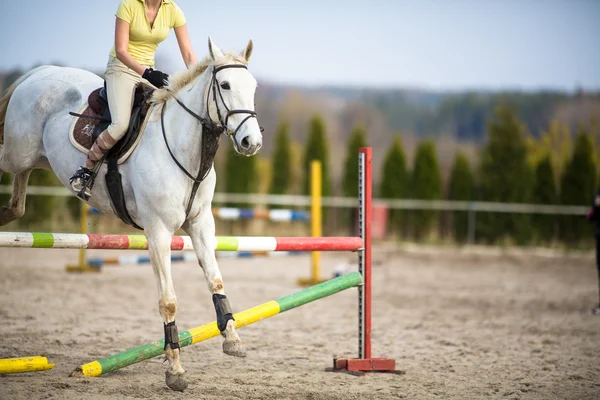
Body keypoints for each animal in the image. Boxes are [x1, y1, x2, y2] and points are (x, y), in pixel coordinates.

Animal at [0, 38, 262, 390]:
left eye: (253, 87)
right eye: (225, 85)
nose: (251, 142)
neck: (185, 149)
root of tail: (40, 72)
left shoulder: (200, 224)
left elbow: (216, 279)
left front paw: (232, 339)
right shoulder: (159, 231)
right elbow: (168, 300)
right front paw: (175, 369)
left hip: (31, 160)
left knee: (18, 202)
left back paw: (6, 212)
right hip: (16, 153)